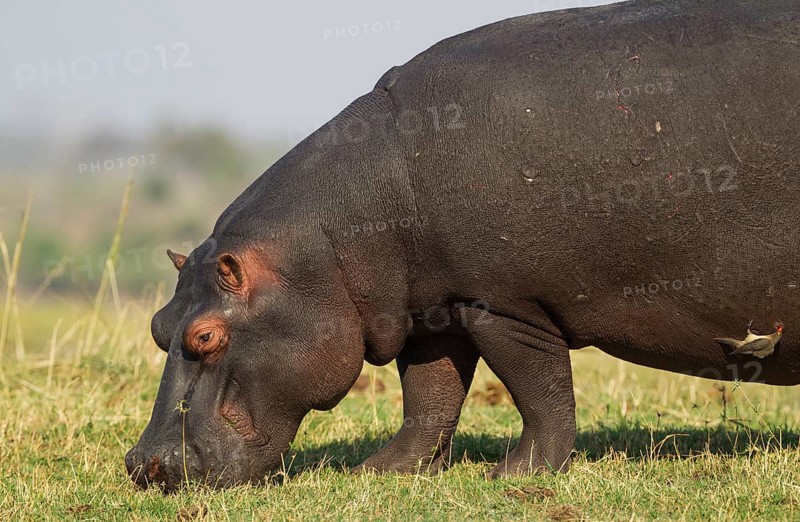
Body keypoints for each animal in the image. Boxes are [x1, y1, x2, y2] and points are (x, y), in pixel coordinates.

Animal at [126, 0, 800, 491]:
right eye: (158, 326)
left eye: (205, 336)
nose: (143, 466)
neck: (336, 239)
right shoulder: (430, 312)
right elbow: (429, 395)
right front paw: (380, 470)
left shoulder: (500, 305)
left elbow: (540, 391)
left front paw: (514, 476)